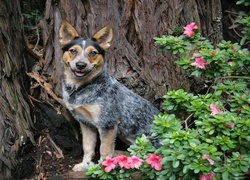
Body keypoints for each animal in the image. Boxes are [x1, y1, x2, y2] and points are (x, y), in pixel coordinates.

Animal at [59, 20, 159, 171]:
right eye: (73, 51)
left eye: (93, 53)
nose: (81, 64)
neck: (80, 88)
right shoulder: (85, 123)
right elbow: (87, 147)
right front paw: (85, 165)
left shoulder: (108, 123)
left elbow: (104, 150)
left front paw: (103, 168)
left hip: (147, 140)